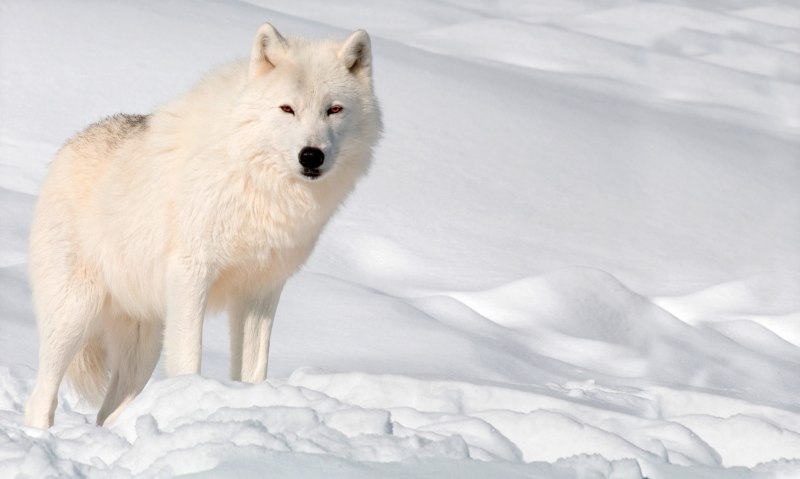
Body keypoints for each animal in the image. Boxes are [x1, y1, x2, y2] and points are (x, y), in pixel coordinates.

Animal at [23, 23, 382, 428]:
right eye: (287, 108)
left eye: (334, 109)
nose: (311, 155)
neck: (258, 182)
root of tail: (65, 149)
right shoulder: (191, 272)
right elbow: (188, 358)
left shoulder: (261, 290)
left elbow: (252, 369)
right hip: (74, 316)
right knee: (41, 398)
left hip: (142, 348)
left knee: (108, 413)